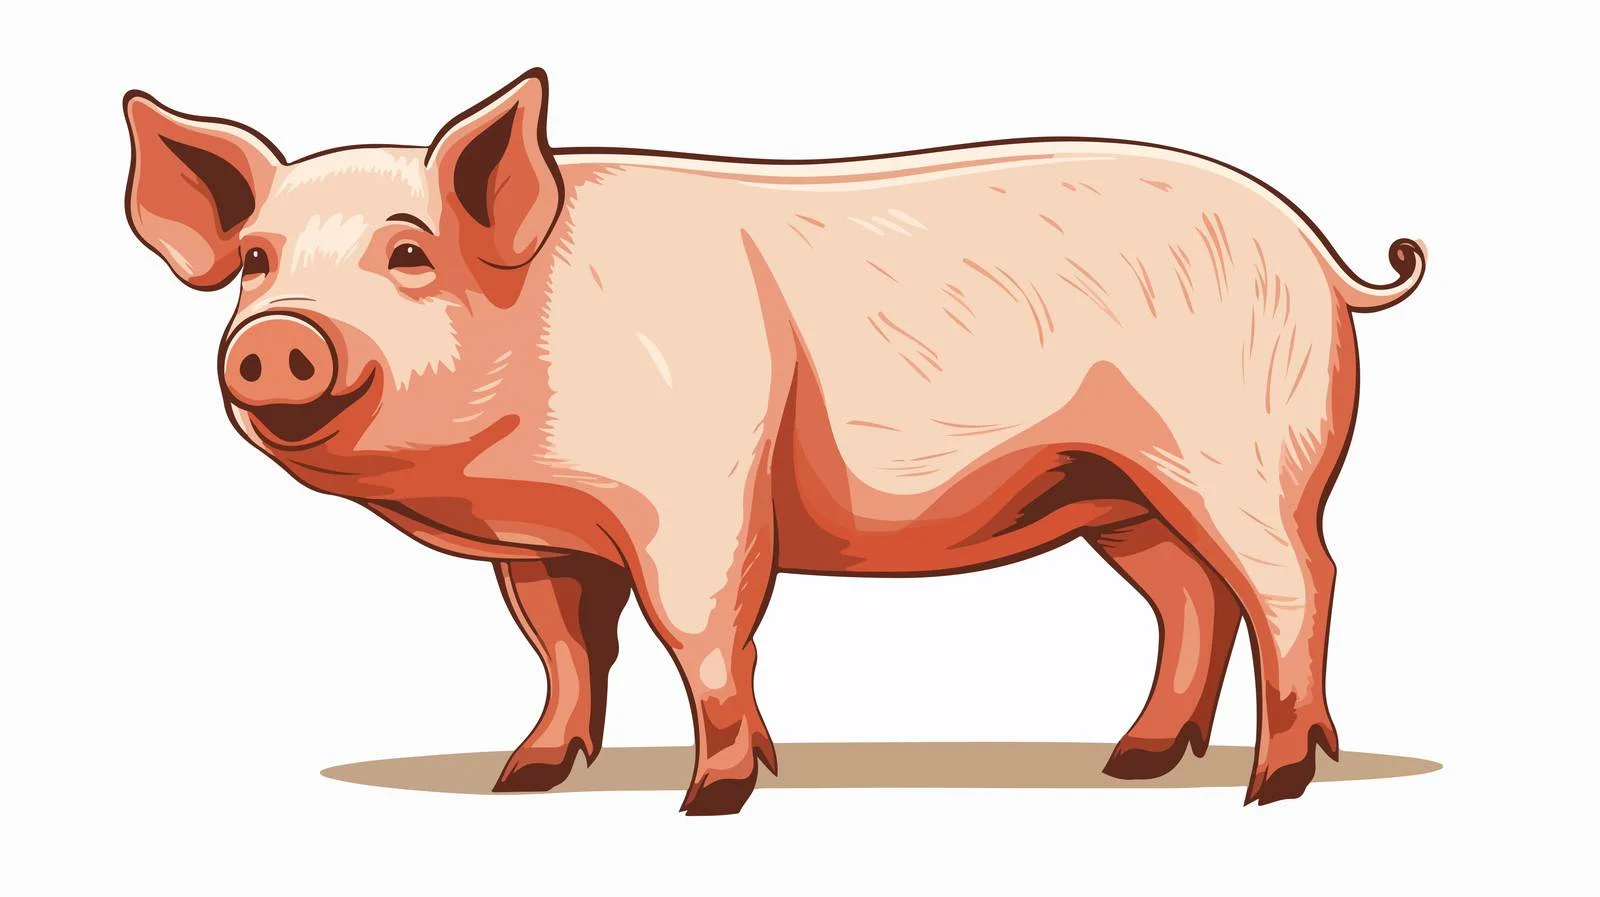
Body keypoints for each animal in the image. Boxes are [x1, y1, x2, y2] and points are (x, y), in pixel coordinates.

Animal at [123, 68, 1424, 814]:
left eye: (407, 251)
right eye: (255, 262)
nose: (276, 338)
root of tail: (1324, 257)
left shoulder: (700, 492)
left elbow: (702, 632)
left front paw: (712, 799)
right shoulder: (543, 541)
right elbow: (562, 649)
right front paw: (523, 780)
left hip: (1240, 450)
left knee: (1296, 582)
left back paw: (1272, 788)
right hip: (1115, 489)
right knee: (1191, 599)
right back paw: (1135, 765)